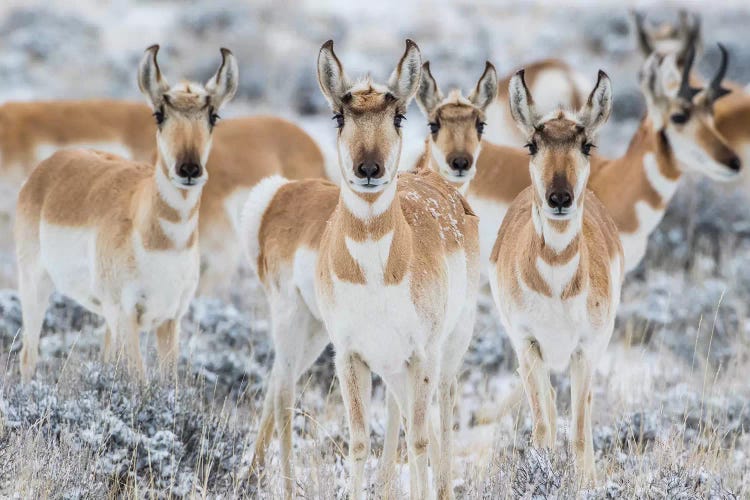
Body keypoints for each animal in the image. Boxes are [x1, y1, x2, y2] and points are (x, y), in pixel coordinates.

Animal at [15, 46, 238, 382]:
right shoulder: (127, 315)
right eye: (159, 114)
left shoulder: (170, 320)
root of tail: (51, 166)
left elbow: (168, 382)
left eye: (214, 116)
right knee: (28, 356)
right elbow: (139, 379)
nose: (189, 169)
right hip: (35, 285)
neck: (163, 242)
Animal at [242, 40, 482, 500]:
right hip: (302, 326)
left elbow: (419, 439)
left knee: (439, 417)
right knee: (284, 391)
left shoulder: (419, 356)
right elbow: (357, 442)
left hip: (442, 351)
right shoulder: (350, 355)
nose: (368, 169)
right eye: (339, 115)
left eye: (399, 115)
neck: (377, 274)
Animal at [490, 68, 624, 482]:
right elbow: (543, 427)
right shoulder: (528, 343)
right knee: (547, 406)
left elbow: (579, 433)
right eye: (532, 144)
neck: (556, 287)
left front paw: (586, 484)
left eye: (587, 145)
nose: (560, 197)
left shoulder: (586, 349)